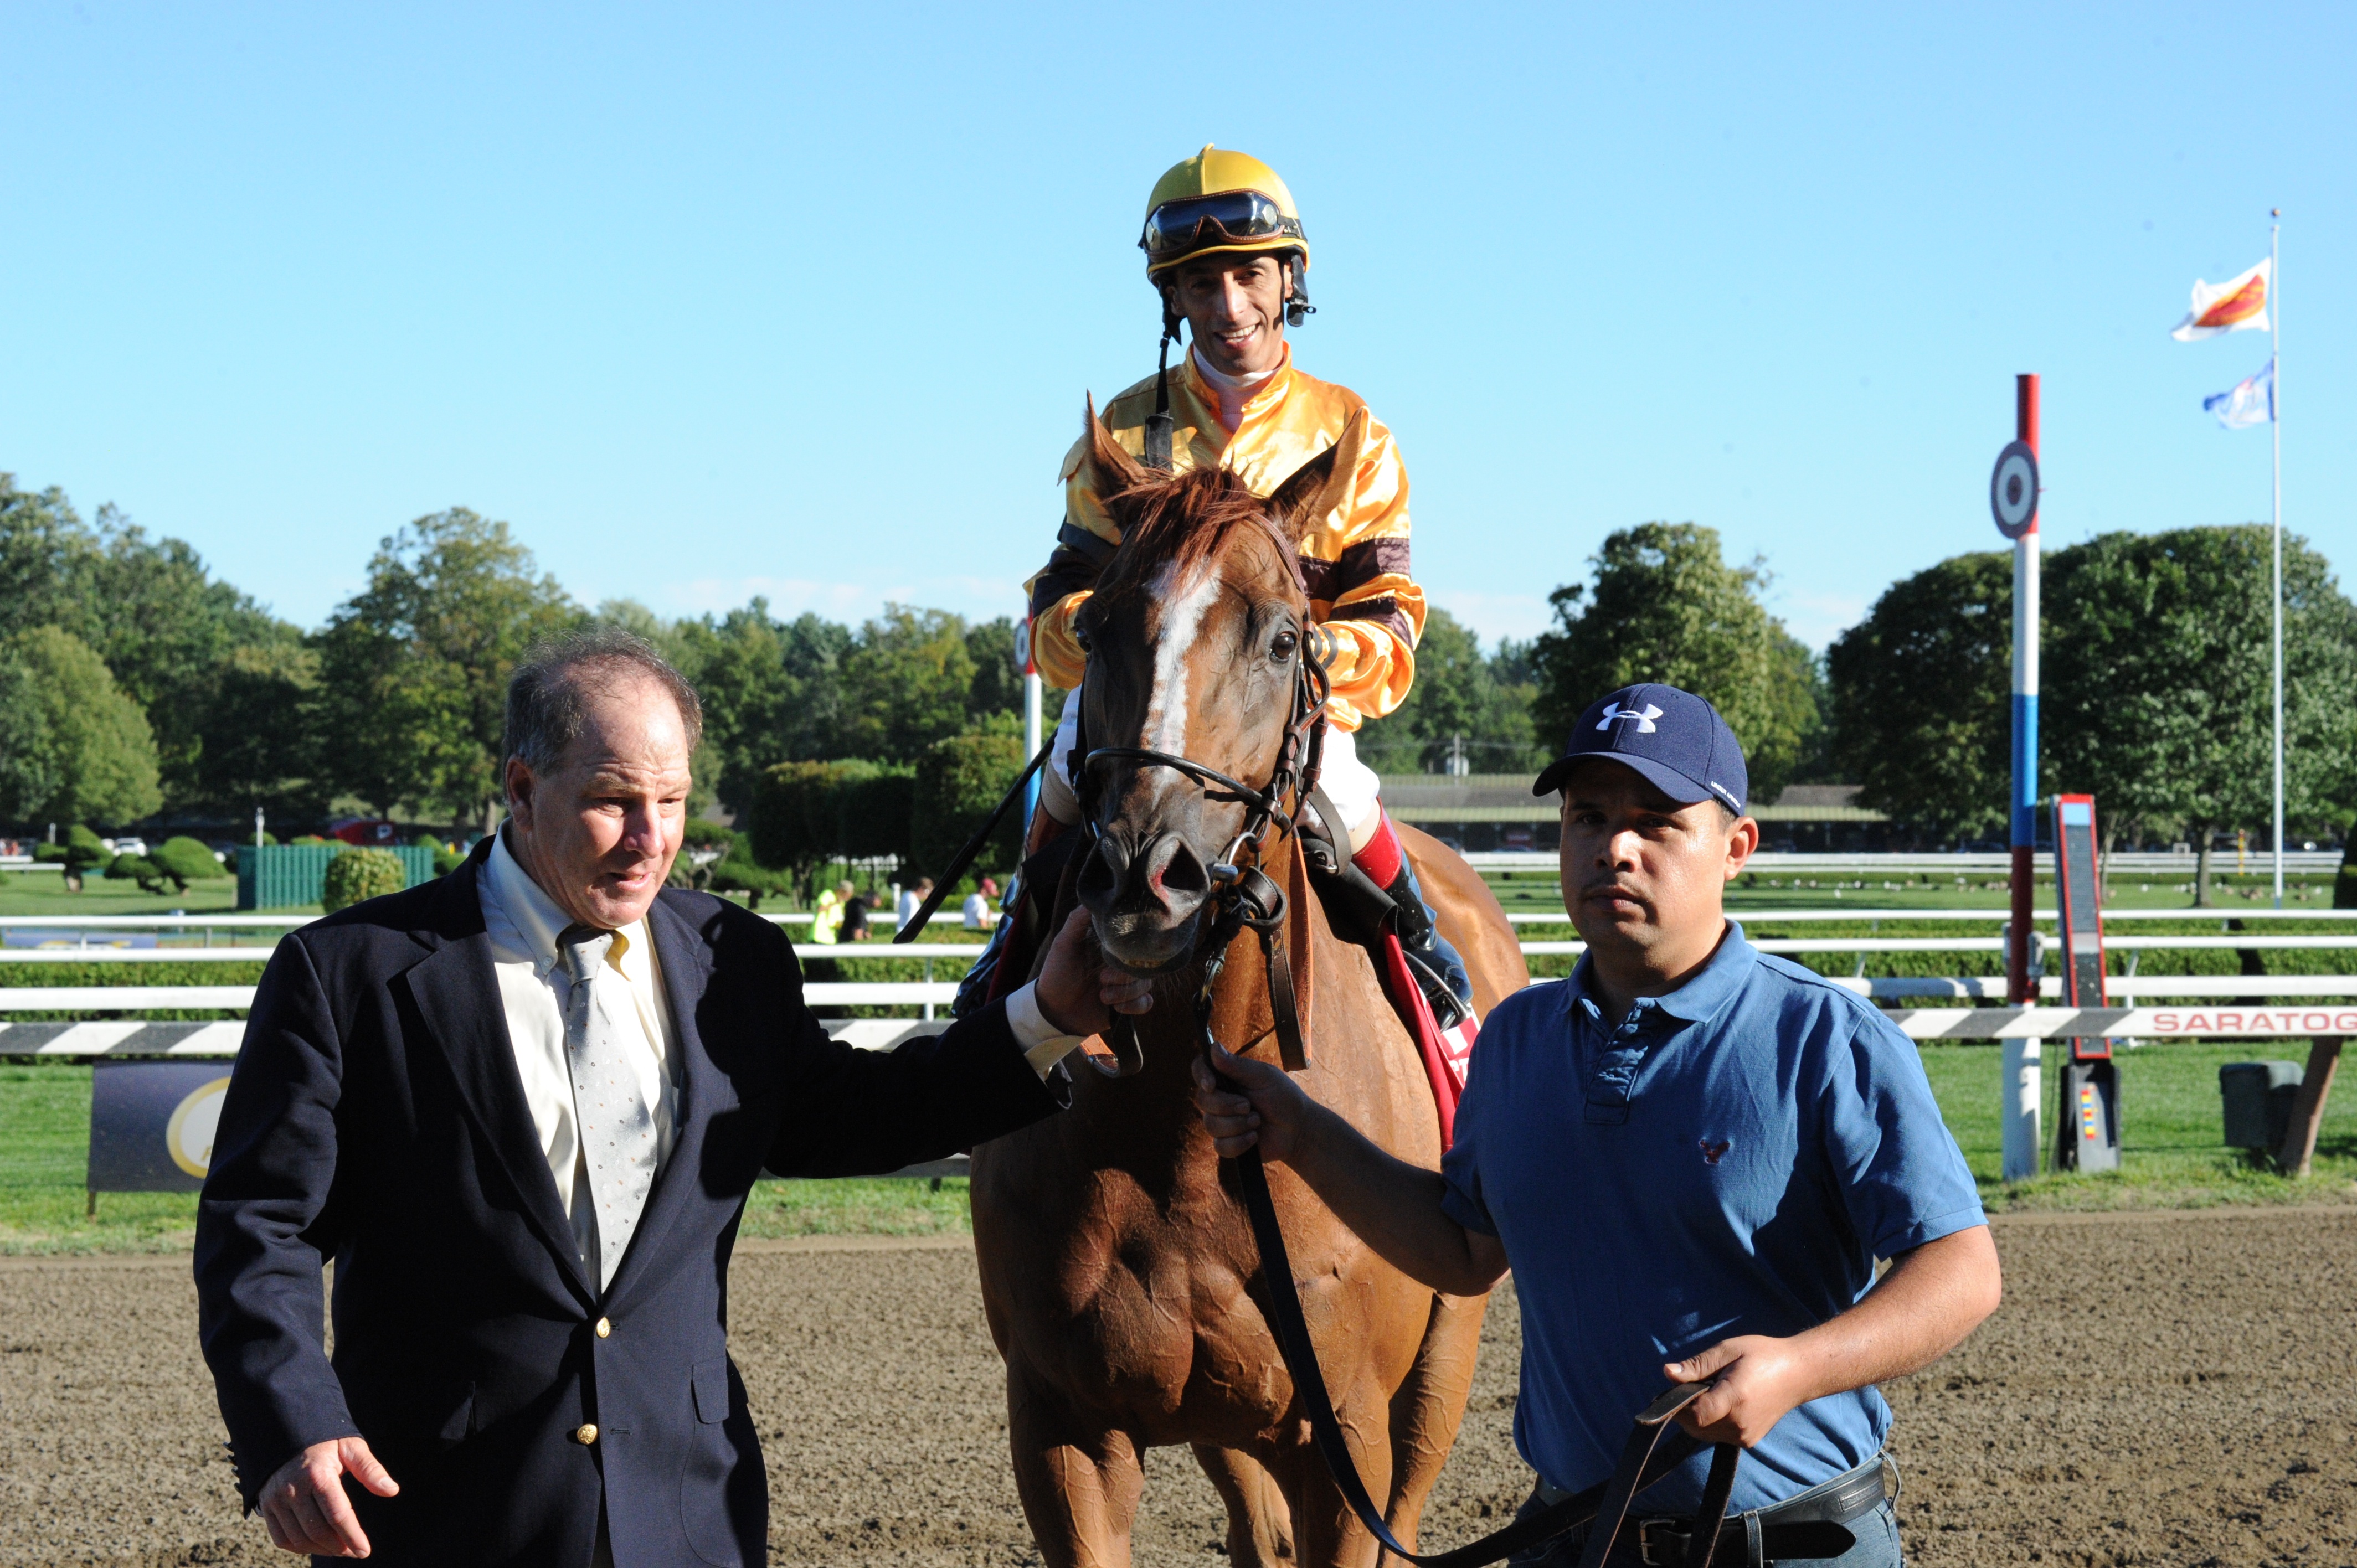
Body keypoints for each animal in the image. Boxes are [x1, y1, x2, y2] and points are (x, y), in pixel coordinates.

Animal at [971, 410, 1527, 1565]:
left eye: (1281, 637)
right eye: (1098, 628)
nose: (1146, 874)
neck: (1177, 1135)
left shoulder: (1348, 1433)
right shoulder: (1061, 1424)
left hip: (1440, 1365)